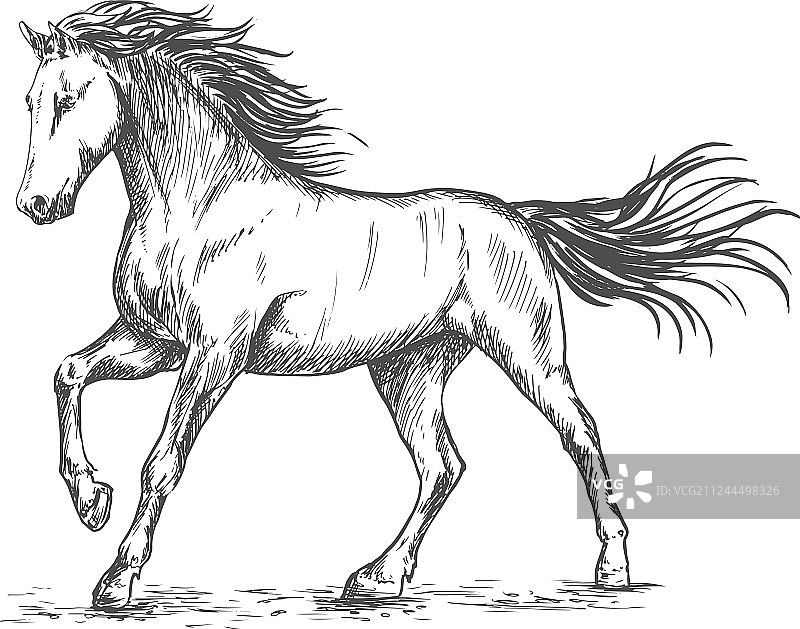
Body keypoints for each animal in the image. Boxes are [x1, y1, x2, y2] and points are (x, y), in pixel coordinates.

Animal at [16, 1, 791, 610]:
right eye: (29, 101)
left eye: (69, 96)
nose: (36, 205)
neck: (205, 206)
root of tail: (518, 217)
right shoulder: (152, 340)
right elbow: (67, 372)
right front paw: (89, 501)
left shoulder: (213, 356)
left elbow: (162, 460)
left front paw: (116, 578)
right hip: (407, 372)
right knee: (443, 464)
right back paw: (377, 574)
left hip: (529, 355)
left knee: (580, 433)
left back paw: (611, 567)